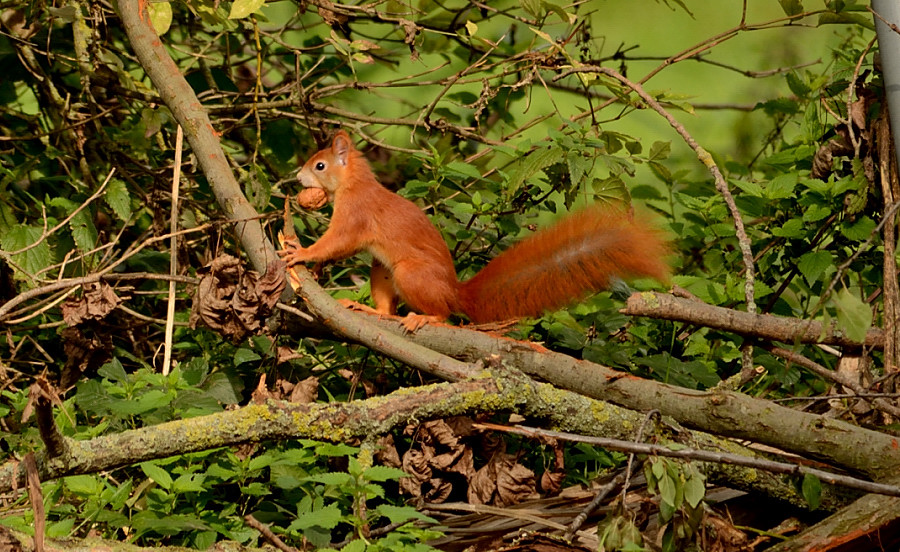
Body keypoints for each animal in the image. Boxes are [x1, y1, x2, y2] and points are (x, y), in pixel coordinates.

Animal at [280, 132, 668, 330]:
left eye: (319, 165)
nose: (297, 178)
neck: (354, 184)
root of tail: (456, 293)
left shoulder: (355, 215)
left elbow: (338, 242)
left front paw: (302, 253)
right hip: (384, 271)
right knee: (388, 308)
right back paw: (371, 311)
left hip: (411, 274)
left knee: (442, 313)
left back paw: (426, 317)